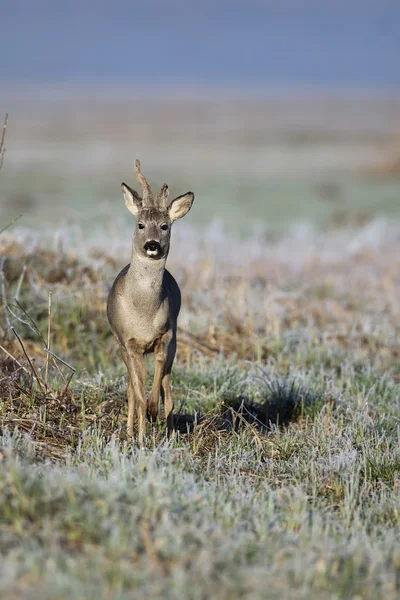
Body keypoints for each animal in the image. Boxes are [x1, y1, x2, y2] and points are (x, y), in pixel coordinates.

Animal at [106, 159, 194, 440]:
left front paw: (156, 414)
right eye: (140, 225)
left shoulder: (164, 338)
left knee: (168, 386)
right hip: (120, 346)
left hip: (174, 340)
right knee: (131, 390)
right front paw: (140, 434)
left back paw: (168, 429)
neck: (144, 312)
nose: (152, 244)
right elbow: (137, 393)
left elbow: (158, 385)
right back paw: (131, 430)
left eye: (165, 226)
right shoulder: (129, 342)